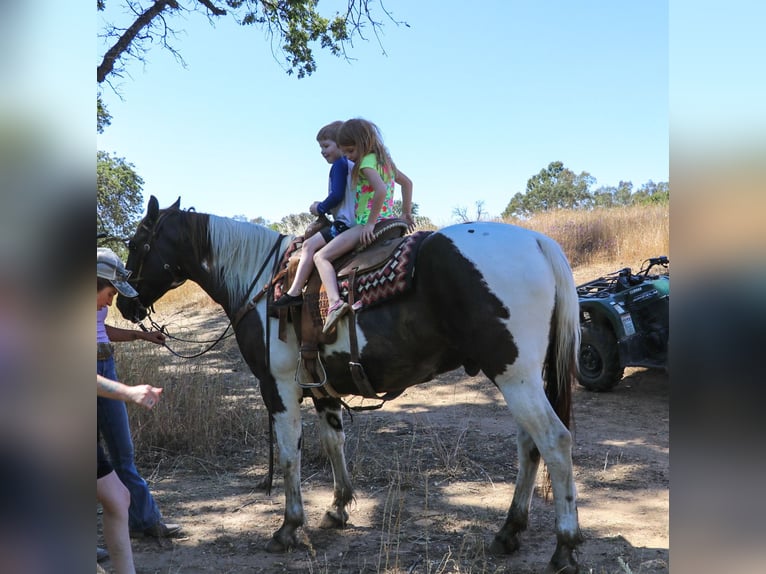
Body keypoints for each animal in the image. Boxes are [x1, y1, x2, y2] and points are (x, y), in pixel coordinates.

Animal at [117, 195, 584, 573]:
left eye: (137, 244)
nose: (124, 304)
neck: (262, 286)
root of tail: (537, 242)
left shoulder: (278, 388)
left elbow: (289, 456)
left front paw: (288, 527)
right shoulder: (321, 386)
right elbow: (332, 443)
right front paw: (339, 508)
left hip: (515, 374)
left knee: (555, 441)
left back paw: (564, 547)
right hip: (518, 376)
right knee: (529, 445)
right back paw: (509, 531)